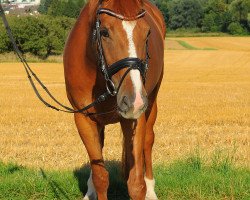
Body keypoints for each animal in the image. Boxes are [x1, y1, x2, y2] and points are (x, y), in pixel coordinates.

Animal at [63, 0, 165, 199]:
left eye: (147, 33)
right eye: (104, 32)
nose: (135, 100)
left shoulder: (134, 118)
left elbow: (136, 184)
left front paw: (144, 188)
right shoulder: (84, 119)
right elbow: (100, 177)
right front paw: (94, 187)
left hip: (152, 102)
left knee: (148, 141)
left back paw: (151, 189)